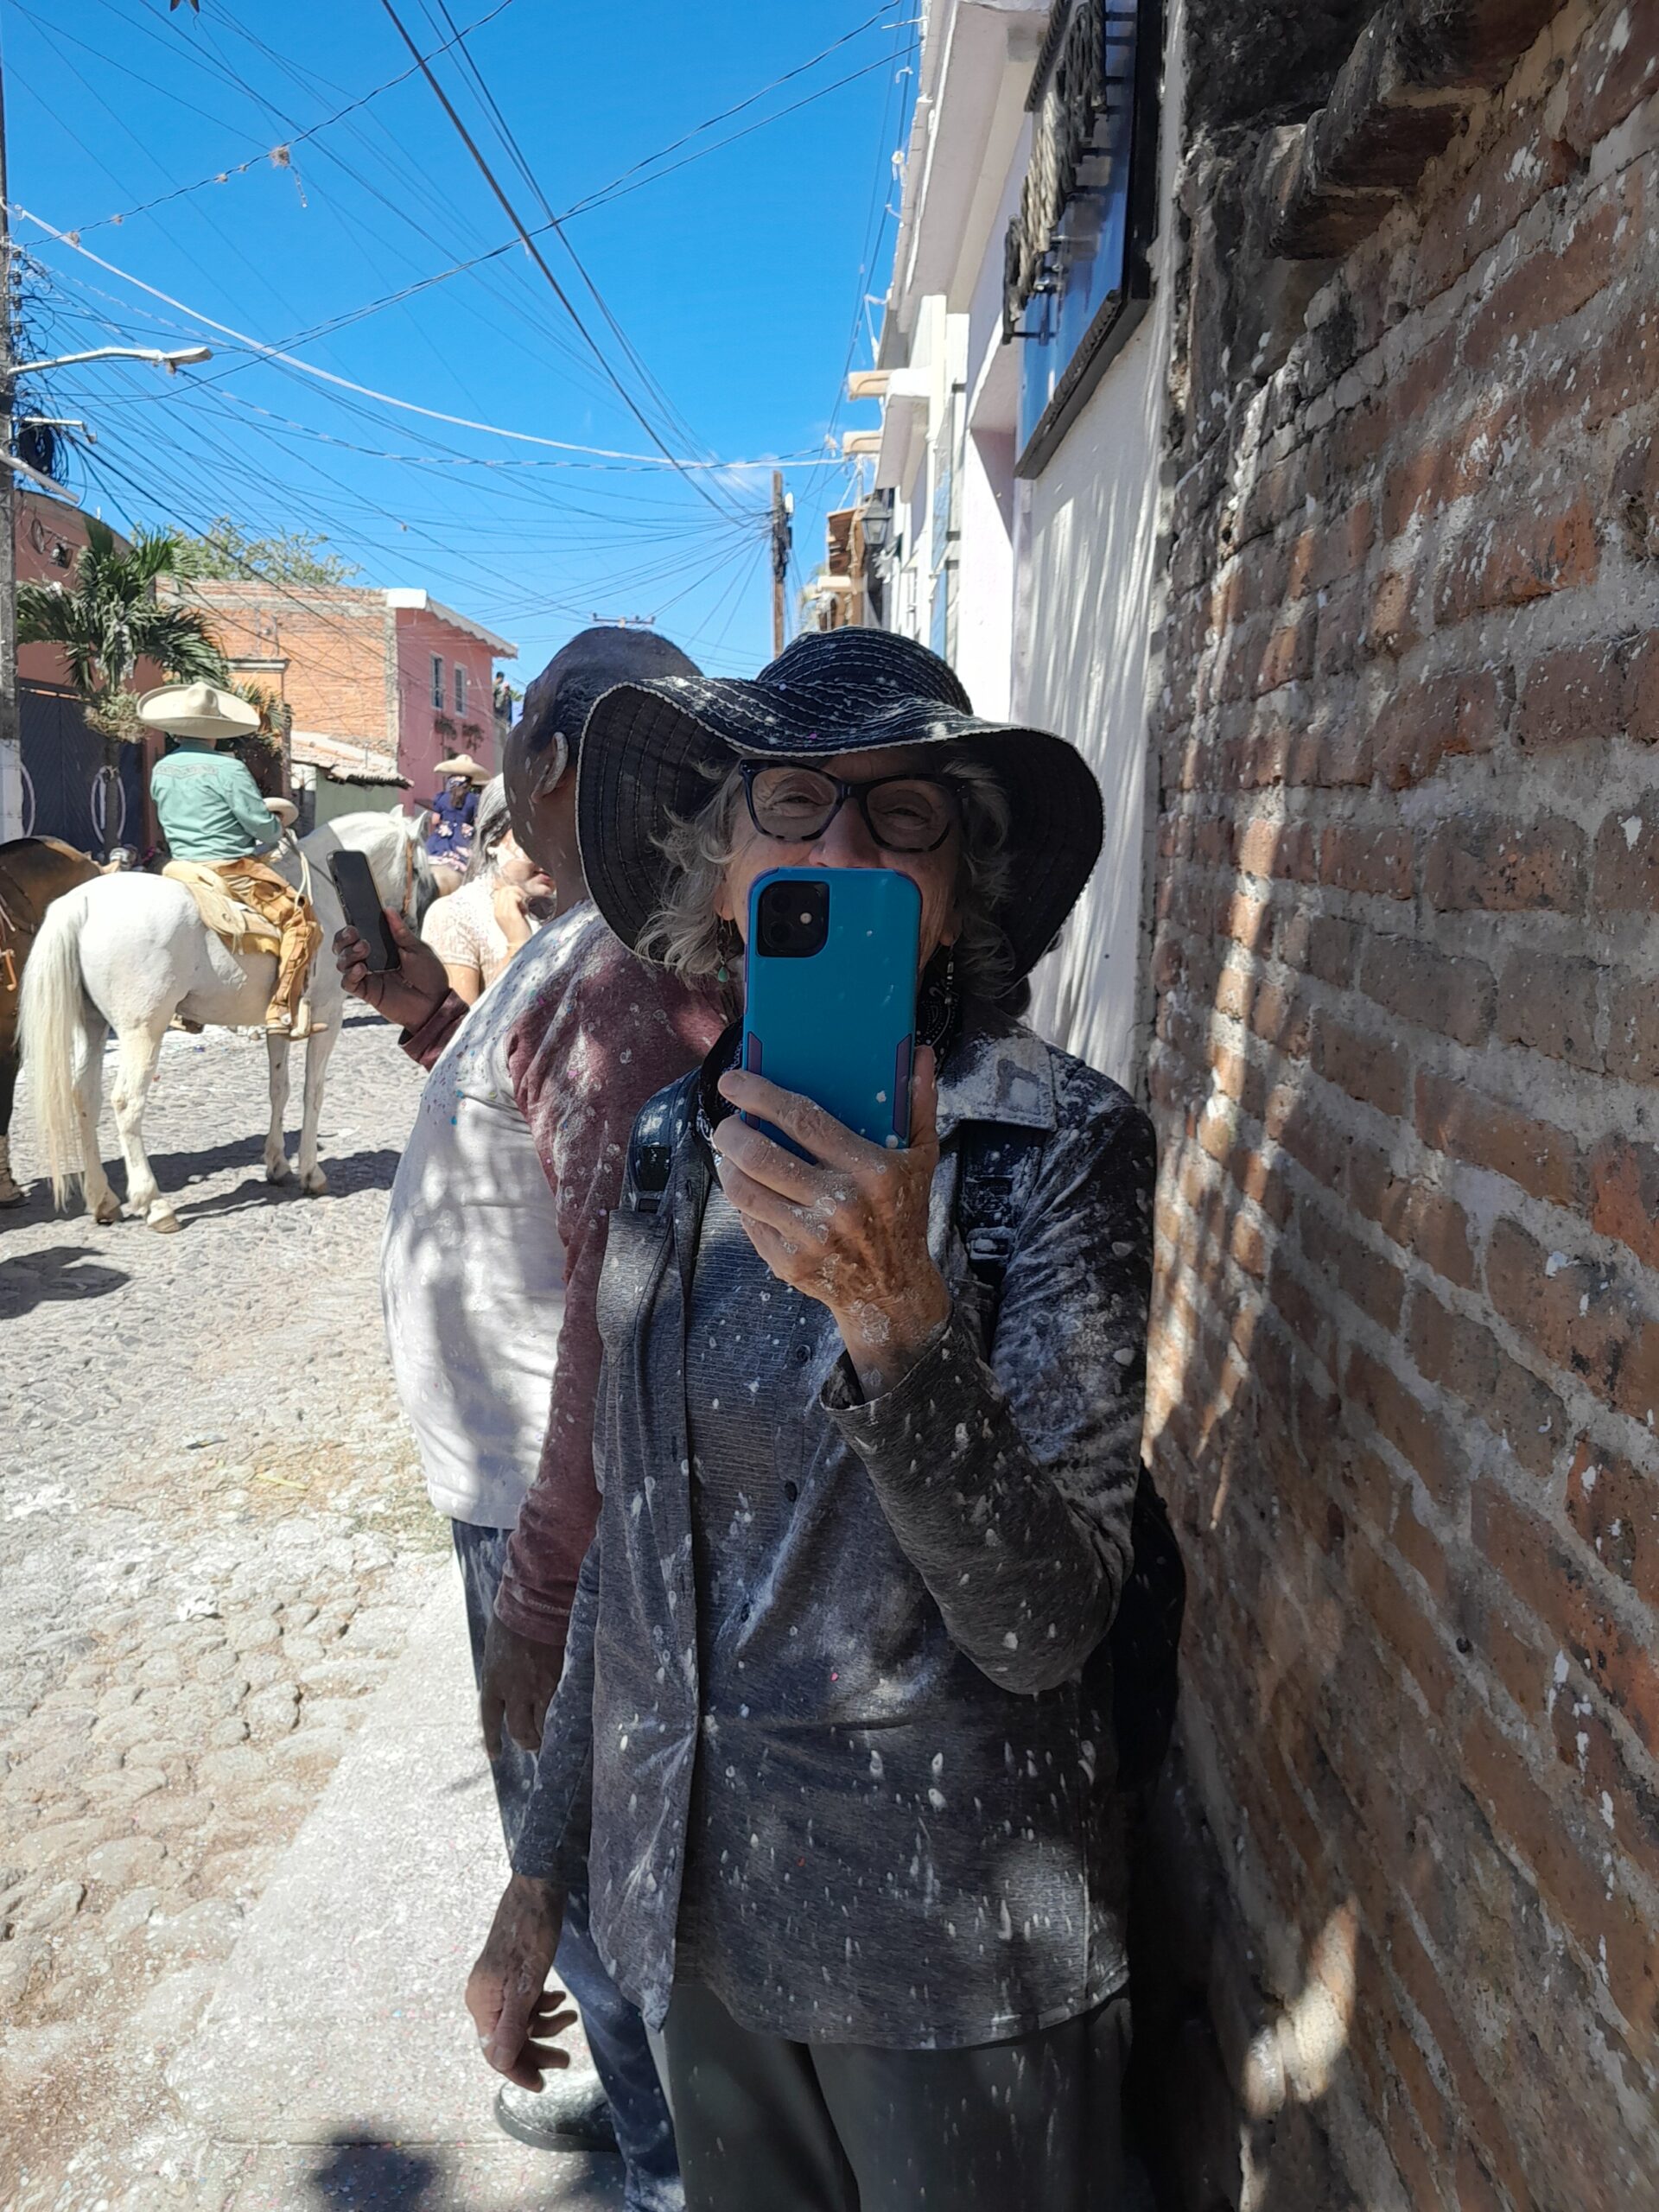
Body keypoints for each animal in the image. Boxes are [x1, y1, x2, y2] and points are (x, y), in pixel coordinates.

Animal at [18, 810, 434, 1232]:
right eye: (418, 870)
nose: (410, 926)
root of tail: (80, 903)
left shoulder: (278, 1022)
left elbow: (279, 1089)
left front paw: (278, 1165)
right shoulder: (328, 1014)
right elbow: (312, 1091)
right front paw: (310, 1173)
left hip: (92, 1025)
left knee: (85, 1097)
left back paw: (102, 1200)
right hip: (142, 1031)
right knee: (126, 1102)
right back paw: (154, 1204)